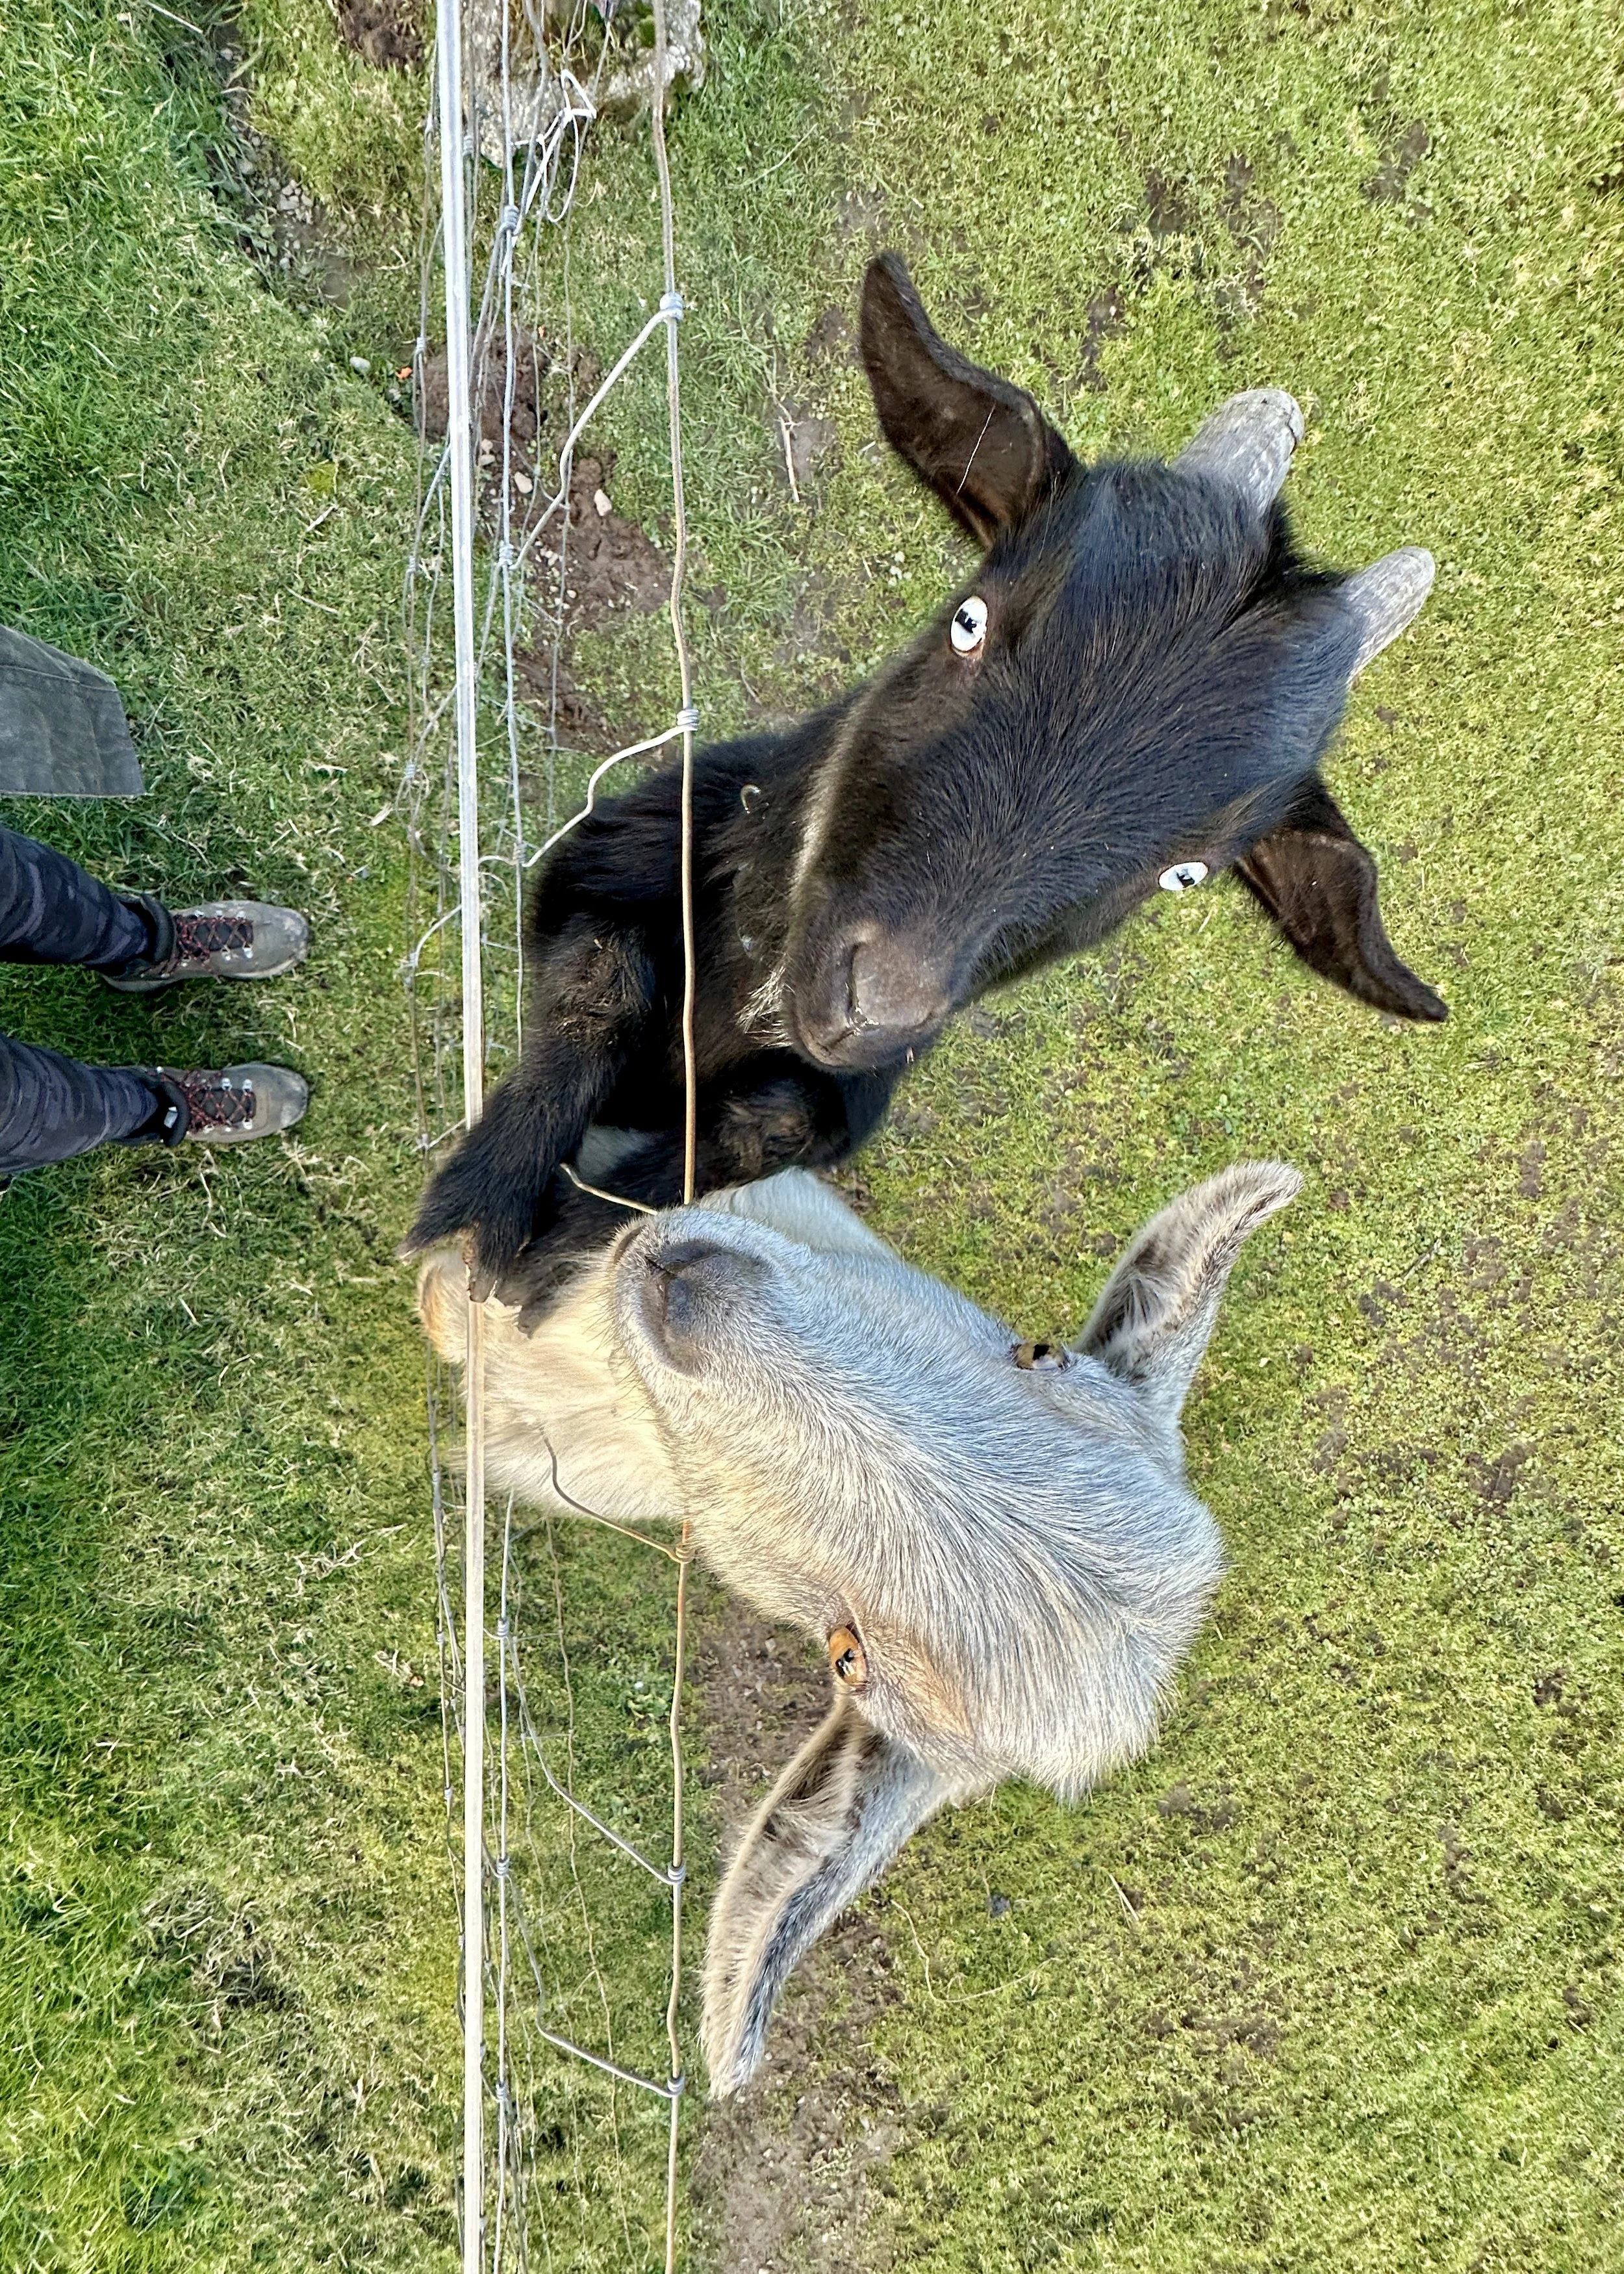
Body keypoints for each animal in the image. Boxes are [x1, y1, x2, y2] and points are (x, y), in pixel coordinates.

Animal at [407, 252, 1433, 1303]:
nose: (872, 1004)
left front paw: (560, 1249)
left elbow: (757, 1131)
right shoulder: (615, 850)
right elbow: (598, 981)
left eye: (1188, 872)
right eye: (969, 622)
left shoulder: (850, 1099)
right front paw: (482, 1214)